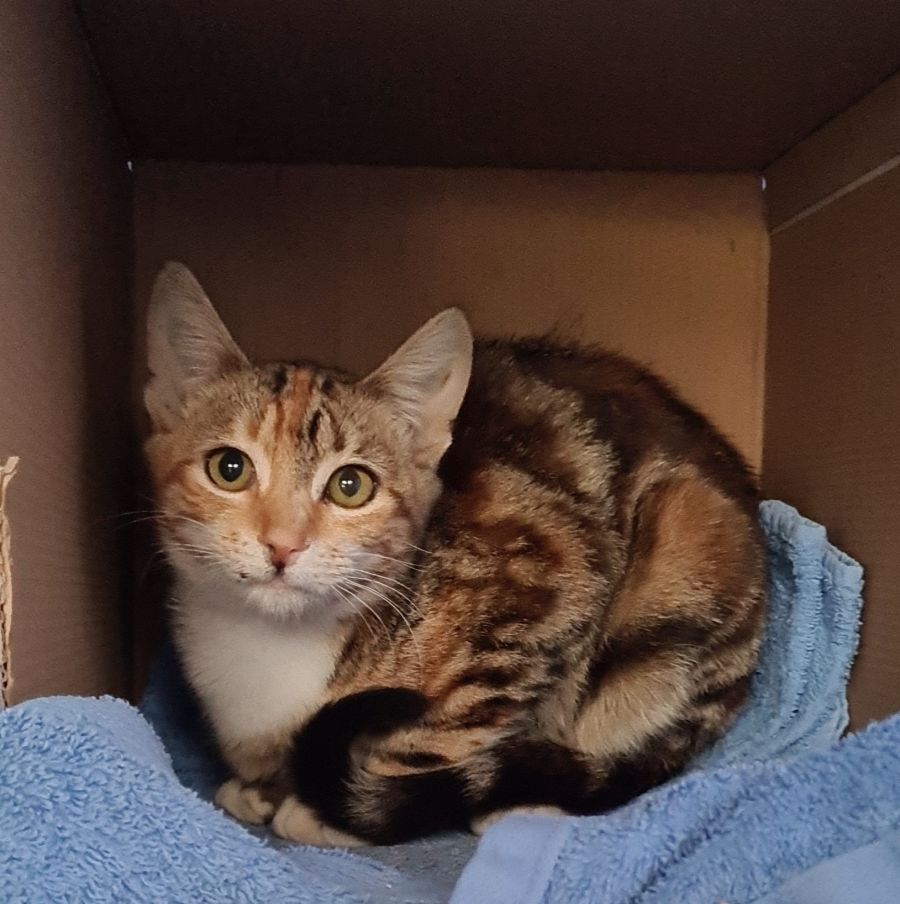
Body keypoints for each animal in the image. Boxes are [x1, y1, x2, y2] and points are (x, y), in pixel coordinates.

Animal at [145, 262, 765, 847]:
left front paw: (333, 813)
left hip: (678, 564)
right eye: (229, 468)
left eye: (351, 486)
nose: (283, 544)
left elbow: (436, 736)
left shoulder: (547, 588)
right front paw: (257, 790)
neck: (269, 648)